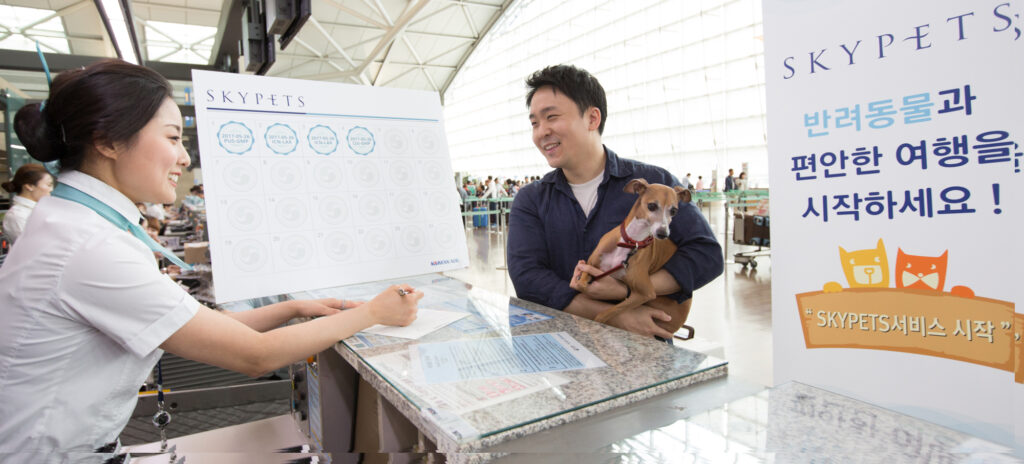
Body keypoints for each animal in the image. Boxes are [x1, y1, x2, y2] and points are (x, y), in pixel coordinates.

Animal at [581, 179, 692, 333]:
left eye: (674, 211)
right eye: (651, 206)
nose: (663, 234)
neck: (631, 242)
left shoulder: (647, 293)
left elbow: (604, 314)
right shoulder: (590, 264)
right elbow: (581, 285)